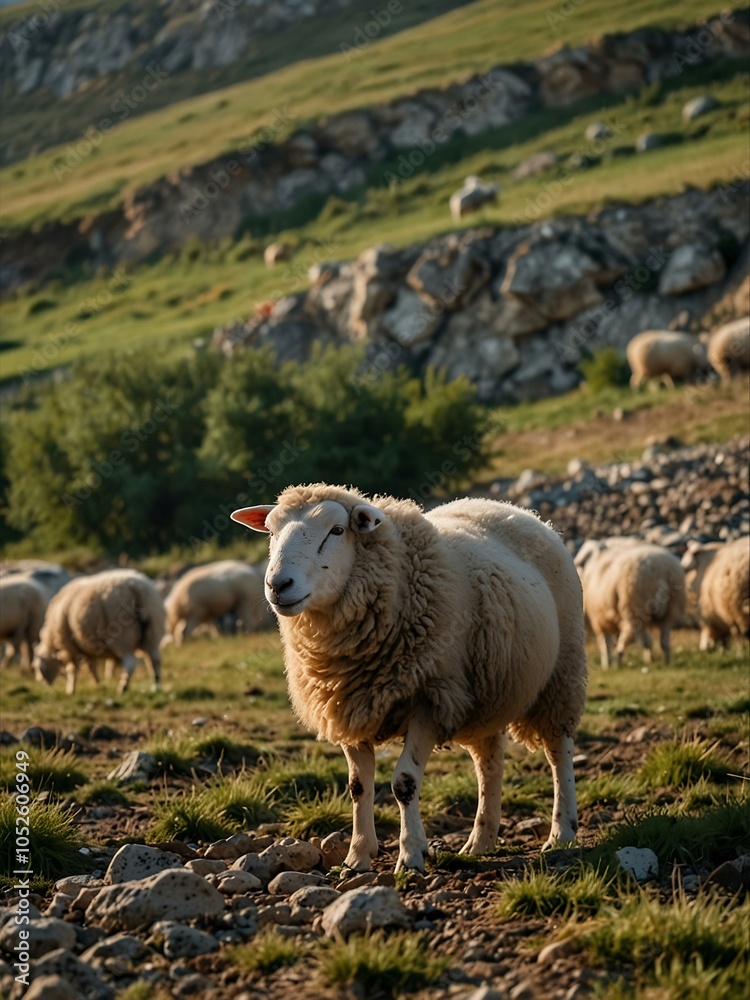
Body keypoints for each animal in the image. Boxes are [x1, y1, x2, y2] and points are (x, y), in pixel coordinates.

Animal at [32, 569, 165, 695]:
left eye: (38, 667)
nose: (41, 682)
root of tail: (137, 588)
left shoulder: (70, 648)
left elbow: (73, 670)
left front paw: (70, 690)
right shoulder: (86, 648)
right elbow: (92, 665)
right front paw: (98, 683)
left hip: (124, 636)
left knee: (131, 663)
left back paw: (122, 688)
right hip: (153, 631)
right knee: (155, 659)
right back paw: (156, 684)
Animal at [231, 484, 587, 873]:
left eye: (336, 530)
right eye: (271, 531)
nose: (278, 585)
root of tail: (512, 509)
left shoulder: (430, 698)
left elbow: (404, 782)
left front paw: (411, 854)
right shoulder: (348, 705)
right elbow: (358, 786)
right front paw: (357, 857)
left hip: (561, 674)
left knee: (558, 752)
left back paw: (562, 832)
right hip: (486, 693)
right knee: (489, 762)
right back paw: (481, 840)